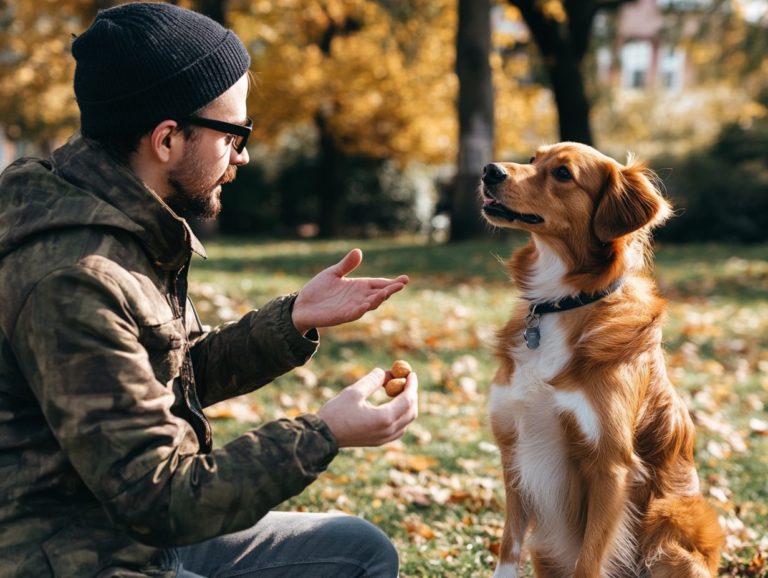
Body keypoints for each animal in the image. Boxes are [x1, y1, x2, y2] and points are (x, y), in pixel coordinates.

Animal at [480, 141, 728, 576]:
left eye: (563, 174)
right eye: (533, 159)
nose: (489, 171)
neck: (563, 302)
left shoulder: (610, 467)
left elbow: (589, 561)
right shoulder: (513, 448)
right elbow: (508, 547)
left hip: (668, 522)